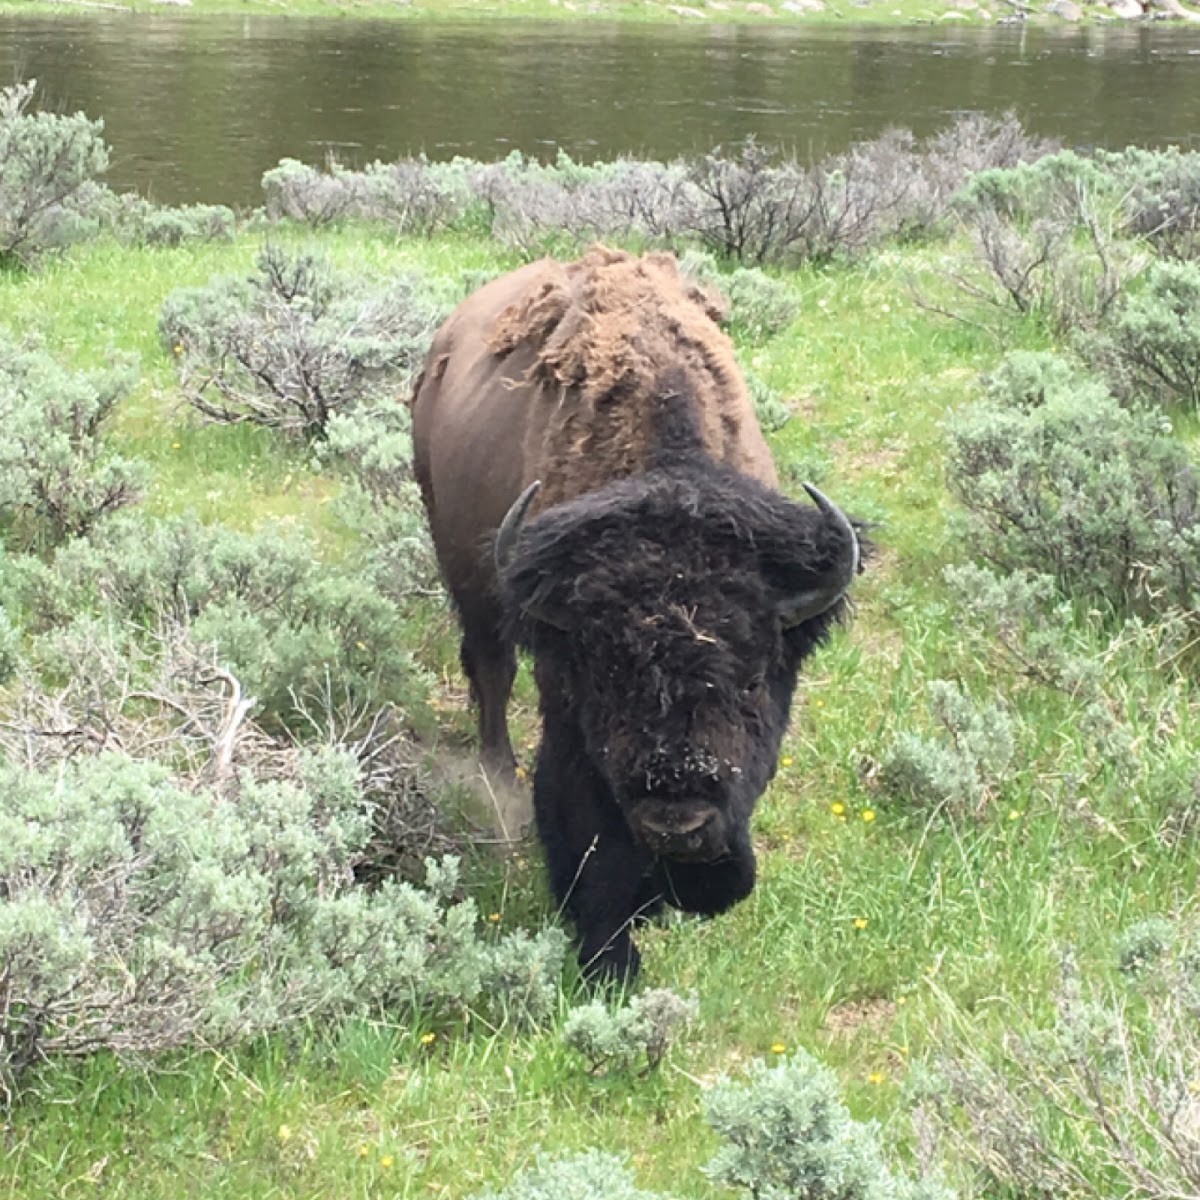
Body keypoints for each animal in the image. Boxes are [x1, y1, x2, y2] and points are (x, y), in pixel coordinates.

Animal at [415, 246, 864, 984]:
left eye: (750, 681)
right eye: (605, 678)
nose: (675, 825)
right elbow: (587, 825)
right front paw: (611, 956)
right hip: (469, 582)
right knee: (490, 673)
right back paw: (497, 780)